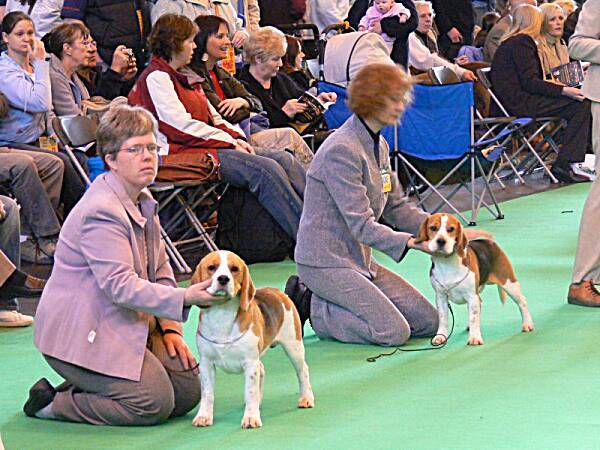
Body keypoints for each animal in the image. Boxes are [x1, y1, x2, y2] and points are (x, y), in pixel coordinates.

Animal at [191, 250, 314, 428]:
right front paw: (204, 416)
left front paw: (250, 417)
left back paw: (306, 398)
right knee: (262, 369)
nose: (223, 279)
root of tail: (279, 292)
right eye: (211, 267)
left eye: (234, 269)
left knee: (302, 371)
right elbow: (207, 394)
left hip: (294, 347)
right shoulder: (206, 364)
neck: (222, 315)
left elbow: (250, 392)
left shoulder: (249, 363)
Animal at [414, 213, 532, 346]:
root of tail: (489, 241)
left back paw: (527, 324)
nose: (441, 241)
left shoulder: (471, 296)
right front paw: (440, 336)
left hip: (508, 283)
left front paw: (475, 337)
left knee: (522, 302)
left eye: (451, 229)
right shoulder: (441, 297)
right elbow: (443, 319)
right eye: (433, 228)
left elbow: (473, 317)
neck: (446, 262)